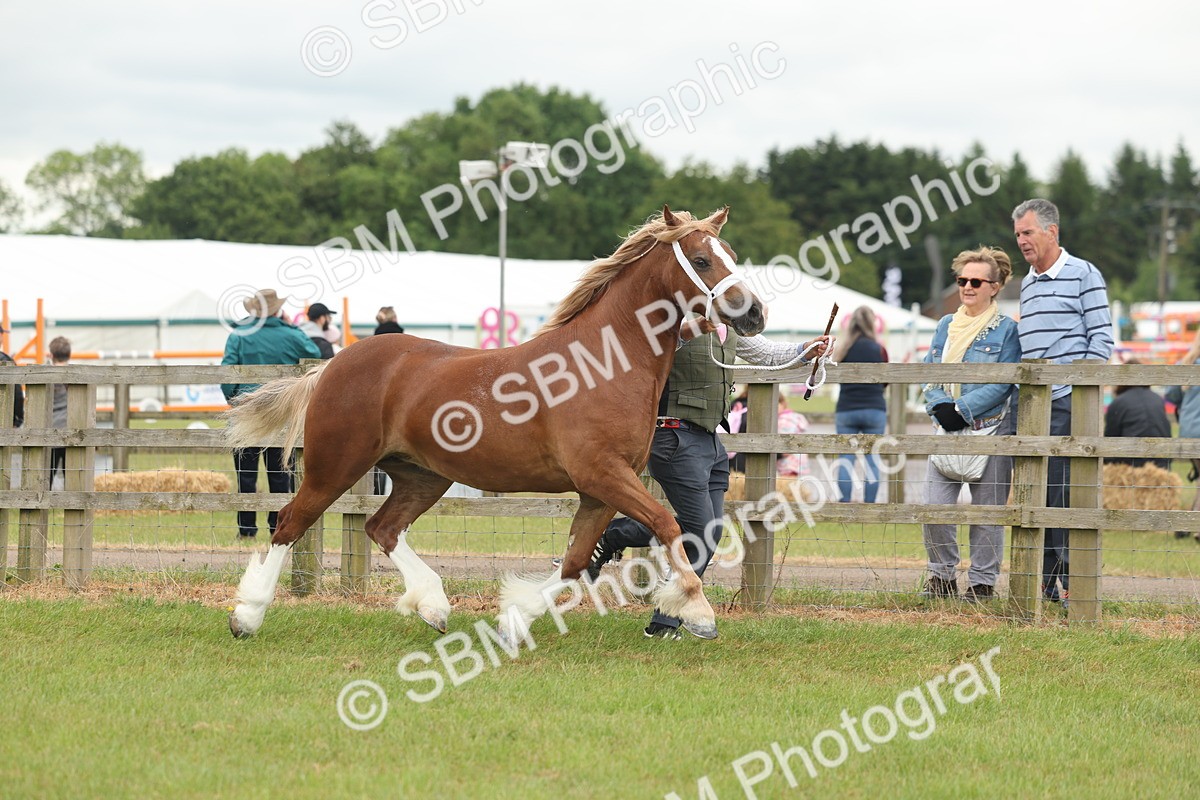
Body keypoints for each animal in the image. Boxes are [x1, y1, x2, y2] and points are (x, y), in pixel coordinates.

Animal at [225, 205, 765, 642]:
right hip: (335, 465)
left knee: (383, 528)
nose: (755, 313)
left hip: (422, 475)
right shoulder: (603, 474)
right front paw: (698, 611)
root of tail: (332, 365)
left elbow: (575, 560)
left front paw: (514, 619)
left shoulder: (599, 490)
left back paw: (433, 606)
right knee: (291, 523)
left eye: (733, 253)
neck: (605, 364)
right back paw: (247, 616)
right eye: (701, 260)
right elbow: (667, 523)